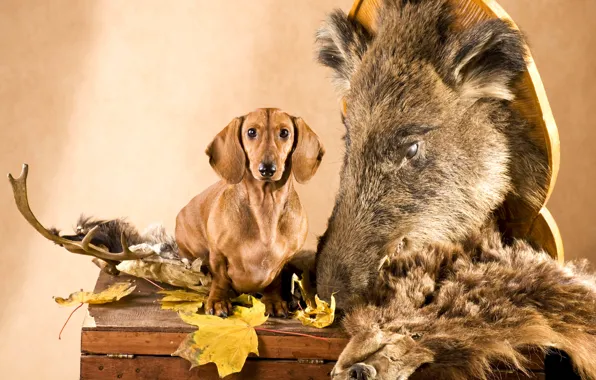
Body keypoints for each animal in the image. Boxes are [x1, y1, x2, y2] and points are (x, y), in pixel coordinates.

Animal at [176, 107, 326, 318]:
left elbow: (274, 281)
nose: (267, 169)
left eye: (285, 132)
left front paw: (274, 301)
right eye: (251, 132)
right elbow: (220, 279)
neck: (265, 207)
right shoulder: (218, 255)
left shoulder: (282, 262)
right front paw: (218, 301)